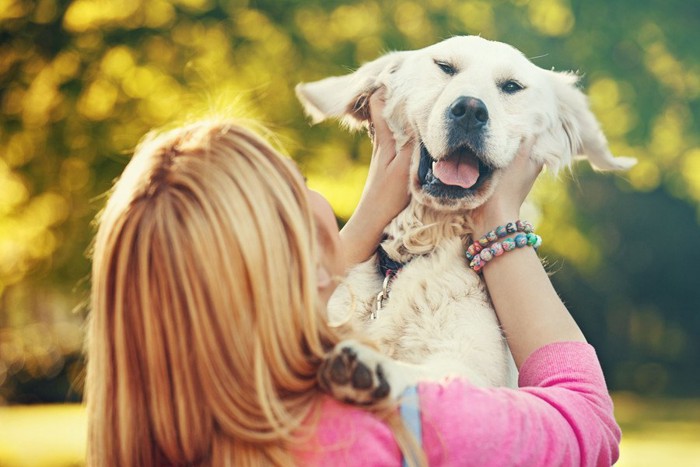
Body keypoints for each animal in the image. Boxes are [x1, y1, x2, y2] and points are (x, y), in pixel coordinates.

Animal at [296, 36, 636, 402]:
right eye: (445, 67)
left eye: (511, 86)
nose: (471, 110)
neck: (423, 243)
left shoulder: (470, 367)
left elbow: (430, 375)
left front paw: (371, 366)